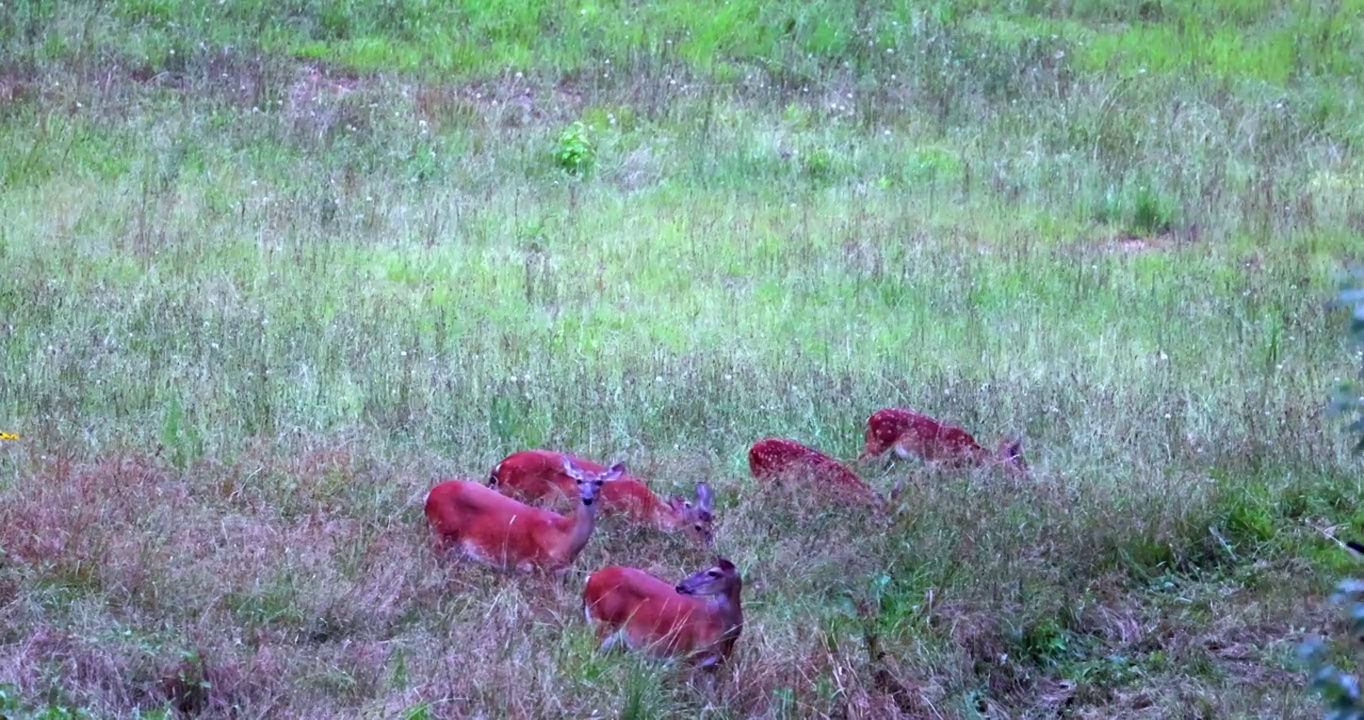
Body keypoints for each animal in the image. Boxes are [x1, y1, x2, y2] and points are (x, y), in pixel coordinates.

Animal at [422, 458, 624, 575]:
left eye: (600, 482)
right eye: (579, 480)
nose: (587, 499)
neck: (563, 536)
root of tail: (430, 495)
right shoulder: (538, 566)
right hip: (442, 531)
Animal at [856, 403, 1025, 477]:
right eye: (1019, 461)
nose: (1027, 474)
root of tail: (870, 419)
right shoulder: (941, 462)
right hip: (879, 443)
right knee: (859, 460)